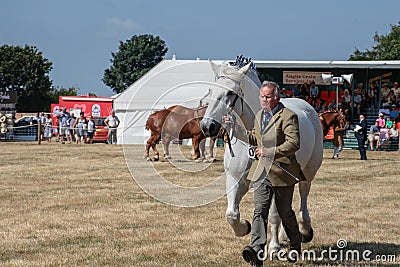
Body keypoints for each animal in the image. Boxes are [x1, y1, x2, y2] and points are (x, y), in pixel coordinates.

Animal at [198, 61, 324, 256]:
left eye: (230, 93)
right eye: (211, 91)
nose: (207, 126)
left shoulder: (273, 182)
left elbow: (273, 215)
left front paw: (273, 247)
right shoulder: (236, 179)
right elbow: (232, 214)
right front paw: (245, 227)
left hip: (308, 173)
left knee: (303, 197)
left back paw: (304, 230)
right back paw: (286, 235)